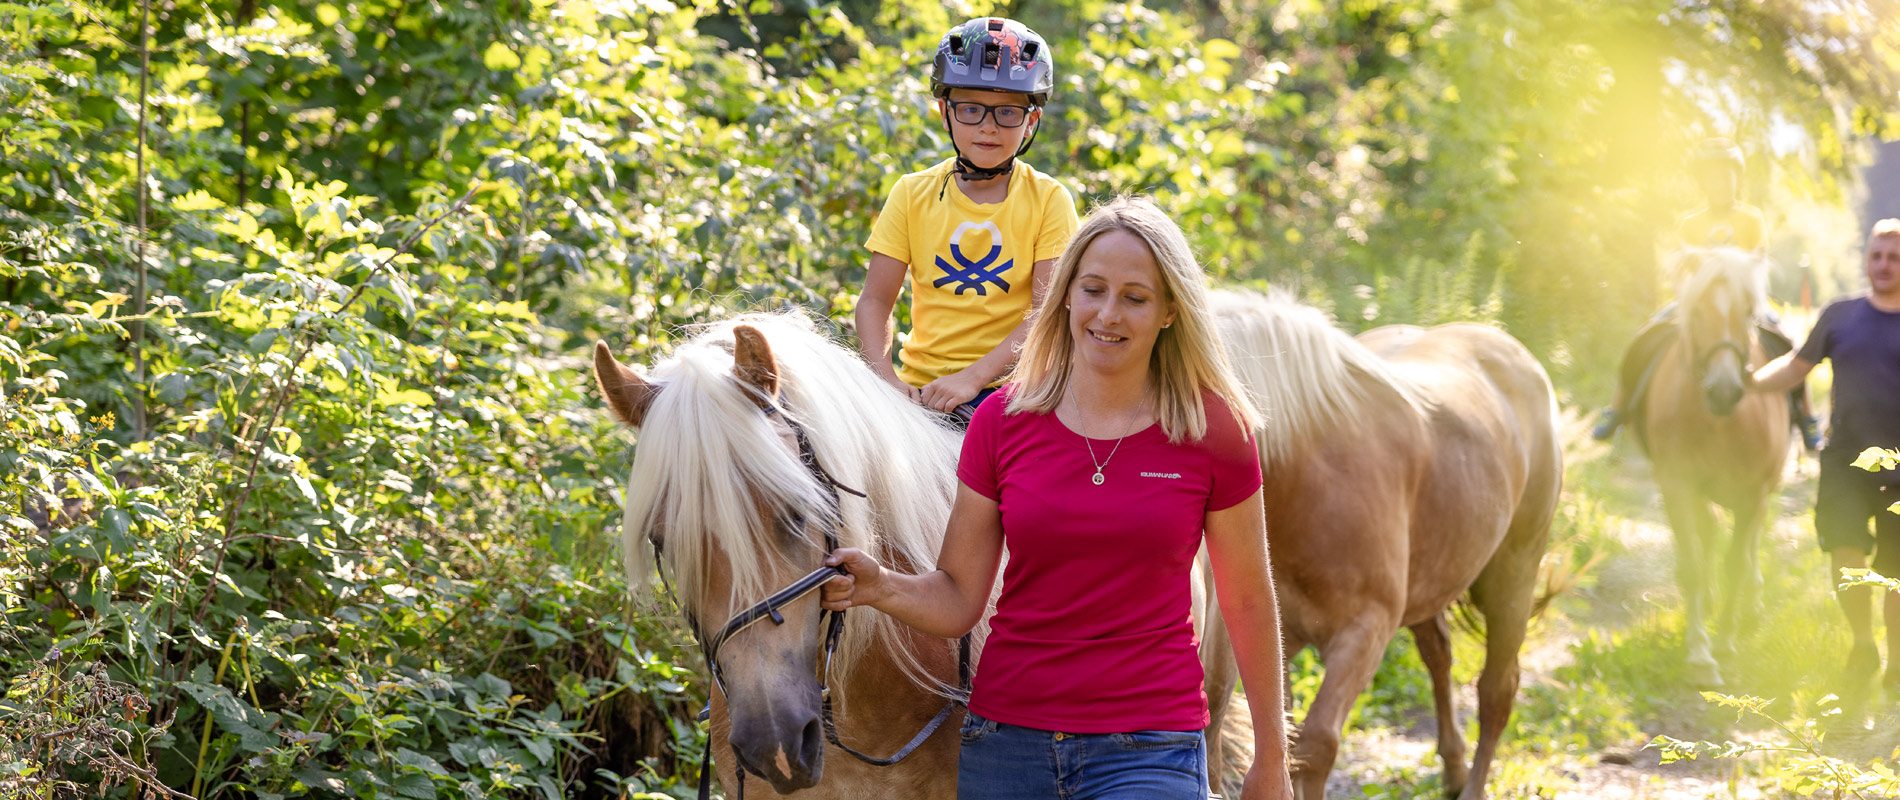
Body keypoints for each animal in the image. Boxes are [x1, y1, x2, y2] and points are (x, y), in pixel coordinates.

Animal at [1200, 290, 1558, 798]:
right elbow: (1256, 730)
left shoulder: (1365, 632)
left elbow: (1315, 744)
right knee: (1439, 655)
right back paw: (1452, 767)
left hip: (1514, 576)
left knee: (1496, 691)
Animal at [1634, 248, 1793, 684]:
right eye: (1697, 311)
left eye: (1747, 312)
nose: (1724, 390)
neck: (1717, 422)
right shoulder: (1677, 486)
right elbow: (1692, 564)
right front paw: (1700, 653)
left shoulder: (1752, 493)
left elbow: (1737, 562)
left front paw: (1724, 640)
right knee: (1707, 538)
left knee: (1750, 541)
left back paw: (1750, 604)